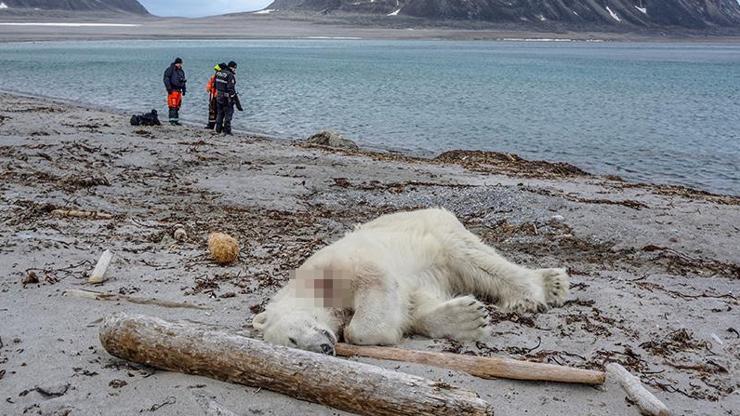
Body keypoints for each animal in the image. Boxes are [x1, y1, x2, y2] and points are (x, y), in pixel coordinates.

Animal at [251, 208, 568, 354]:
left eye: (293, 338)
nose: (324, 348)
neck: (307, 287)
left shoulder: (337, 264)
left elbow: (375, 283)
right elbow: (415, 305)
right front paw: (467, 318)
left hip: (437, 232)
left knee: (476, 260)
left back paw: (539, 290)